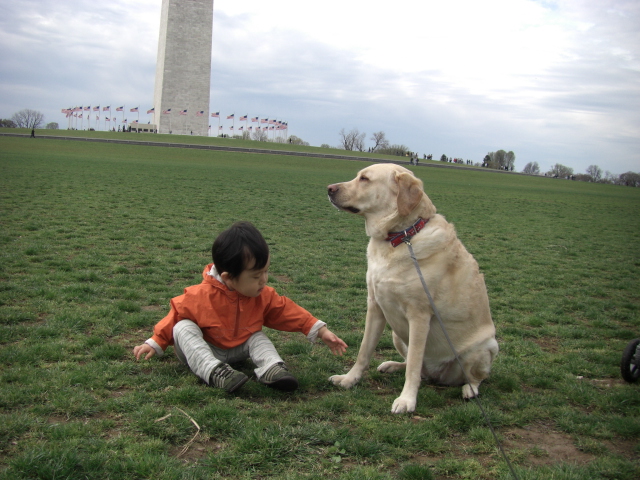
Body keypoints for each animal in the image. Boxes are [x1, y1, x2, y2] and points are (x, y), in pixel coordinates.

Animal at [328, 163, 498, 414]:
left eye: (365, 179)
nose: (329, 188)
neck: (400, 236)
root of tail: (438, 377)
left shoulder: (419, 316)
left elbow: (414, 368)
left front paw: (407, 400)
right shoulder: (376, 307)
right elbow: (364, 351)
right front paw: (349, 380)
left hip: (484, 347)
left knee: (473, 378)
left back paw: (469, 390)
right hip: (397, 333)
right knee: (413, 365)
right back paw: (392, 365)